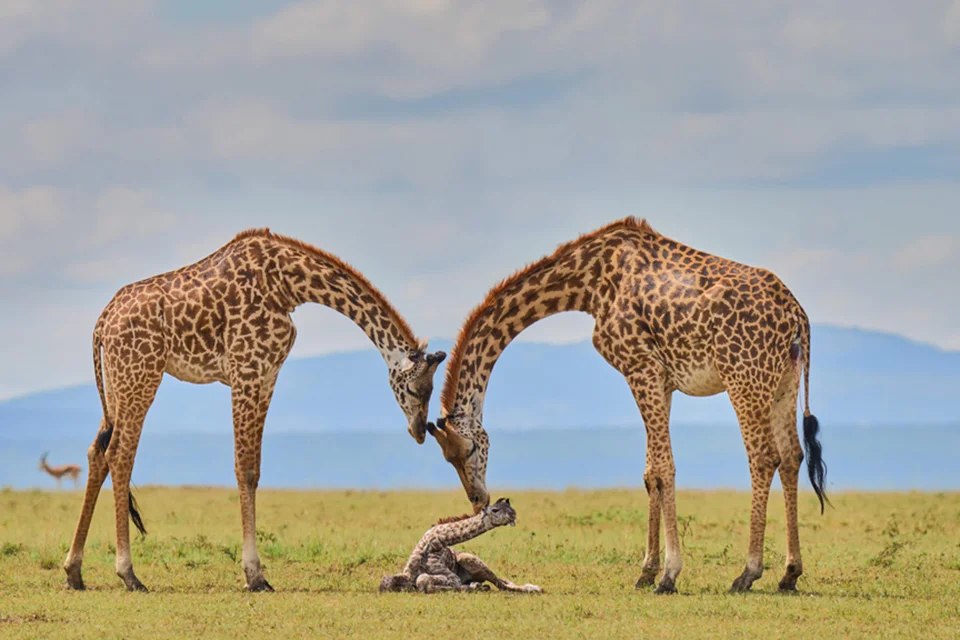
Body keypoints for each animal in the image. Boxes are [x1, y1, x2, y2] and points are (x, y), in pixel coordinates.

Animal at [62, 228, 446, 593]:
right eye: (416, 388)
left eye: (431, 391)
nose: (418, 430)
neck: (289, 286)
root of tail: (102, 322)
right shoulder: (246, 369)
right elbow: (244, 467)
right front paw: (254, 575)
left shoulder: (268, 374)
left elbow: (256, 469)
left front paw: (256, 573)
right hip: (141, 374)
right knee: (120, 454)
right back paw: (128, 574)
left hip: (118, 382)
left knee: (97, 452)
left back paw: (74, 571)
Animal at [379, 498, 542, 594]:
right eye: (495, 509)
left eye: (510, 508)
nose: (514, 514)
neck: (430, 544)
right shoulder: (407, 573)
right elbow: (386, 581)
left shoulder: (452, 577)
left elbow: (424, 581)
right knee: (502, 581)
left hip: (468, 558)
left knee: (501, 584)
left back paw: (535, 588)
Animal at [424, 217, 828, 594]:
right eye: (447, 457)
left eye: (467, 450)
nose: (478, 499)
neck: (588, 287)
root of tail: (797, 316)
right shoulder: (660, 380)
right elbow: (651, 473)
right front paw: (646, 572)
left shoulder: (640, 367)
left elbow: (664, 469)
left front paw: (668, 575)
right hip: (784, 382)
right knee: (792, 455)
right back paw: (790, 574)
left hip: (744, 377)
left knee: (763, 457)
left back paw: (747, 573)